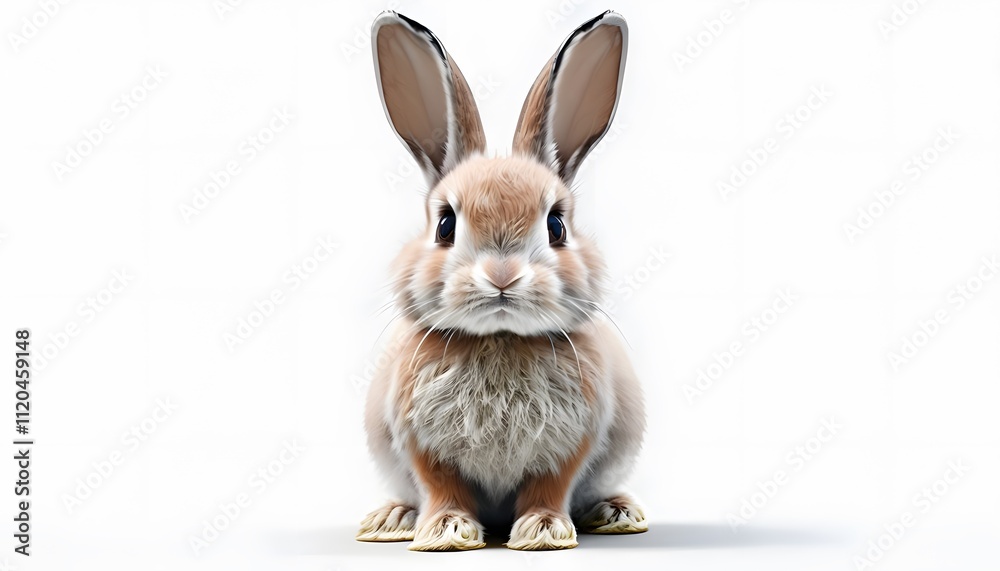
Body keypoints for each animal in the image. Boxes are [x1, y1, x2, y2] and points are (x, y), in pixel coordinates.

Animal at [356, 10, 647, 551]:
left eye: (556, 226)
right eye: (445, 225)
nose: (502, 277)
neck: (501, 338)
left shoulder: (570, 443)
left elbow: (550, 487)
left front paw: (544, 531)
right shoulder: (422, 443)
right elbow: (441, 486)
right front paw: (446, 532)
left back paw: (618, 512)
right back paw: (391, 519)